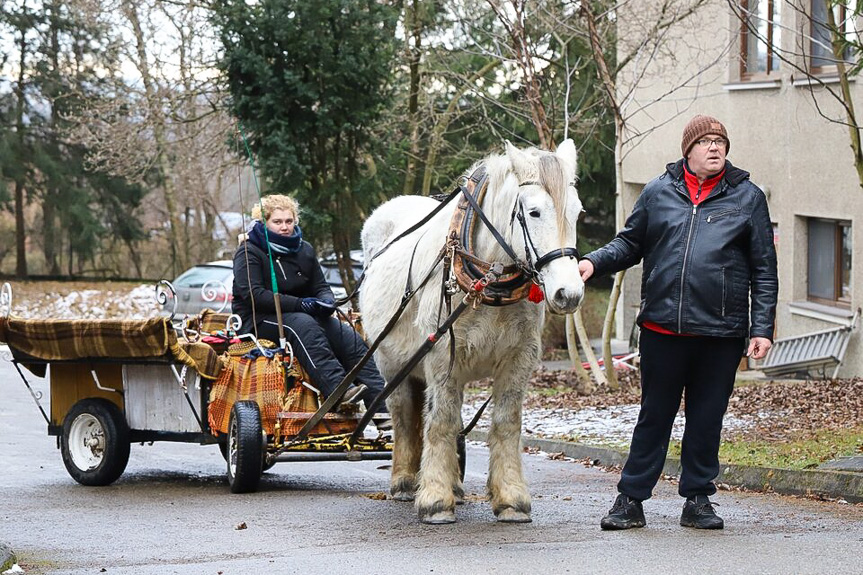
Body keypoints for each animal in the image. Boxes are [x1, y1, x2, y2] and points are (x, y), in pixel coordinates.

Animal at [358, 141, 588, 528]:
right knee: (404, 415)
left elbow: (506, 424)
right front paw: (435, 501)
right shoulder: (441, 357)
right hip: (392, 363)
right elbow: (440, 423)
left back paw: (454, 485)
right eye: (534, 212)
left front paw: (511, 499)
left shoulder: (518, 359)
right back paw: (405, 481)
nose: (568, 294)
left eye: (577, 211)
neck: (489, 279)